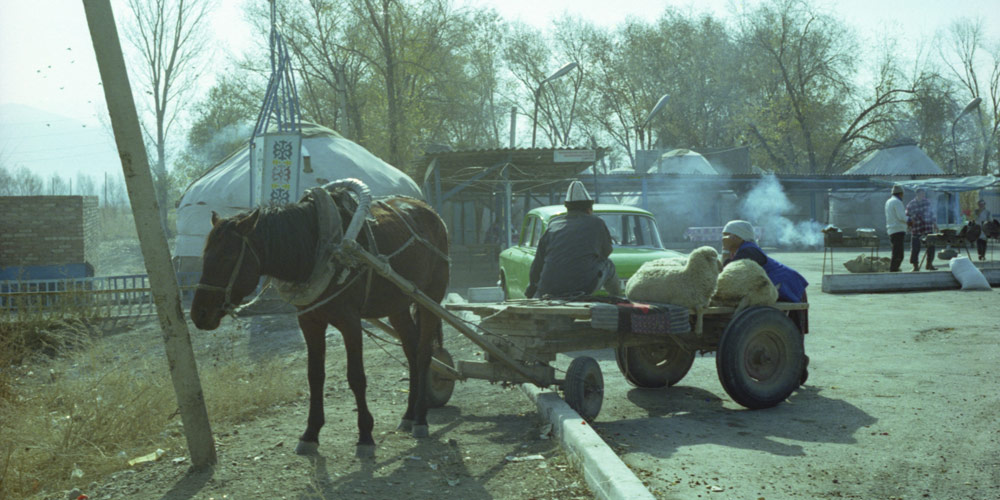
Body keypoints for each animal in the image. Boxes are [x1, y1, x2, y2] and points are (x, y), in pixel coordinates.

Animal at [187, 180, 450, 458]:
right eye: (204, 256)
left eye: (226, 257)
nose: (199, 314)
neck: (319, 247)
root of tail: (430, 211)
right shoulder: (310, 321)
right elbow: (315, 375)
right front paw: (310, 434)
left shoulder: (350, 322)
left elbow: (356, 377)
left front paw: (365, 436)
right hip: (397, 305)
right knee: (411, 350)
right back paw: (409, 415)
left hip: (430, 296)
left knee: (423, 354)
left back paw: (420, 419)